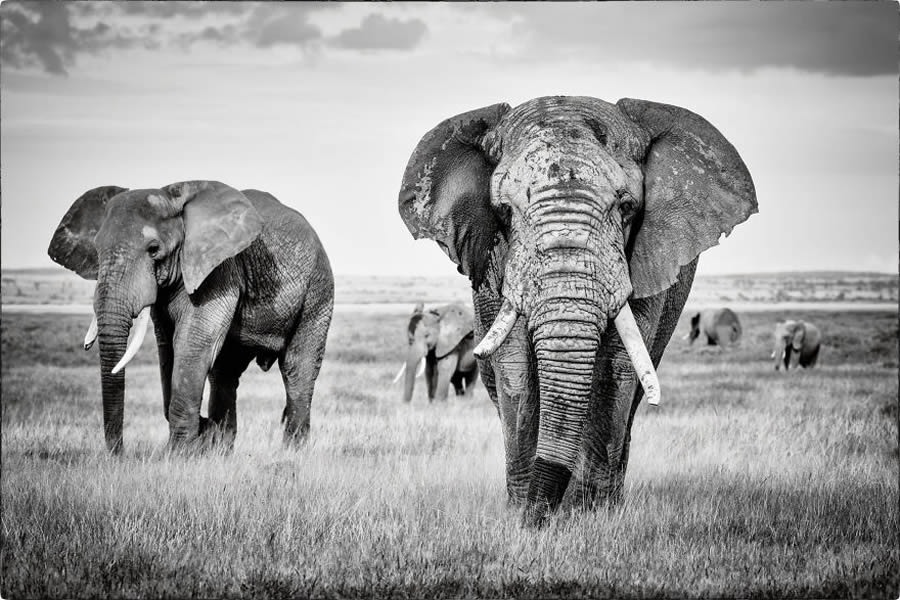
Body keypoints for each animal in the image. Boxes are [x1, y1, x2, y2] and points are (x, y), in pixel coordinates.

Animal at [47, 180, 334, 452]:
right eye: (96, 250)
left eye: (153, 249)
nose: (118, 455)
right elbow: (168, 348)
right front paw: (204, 437)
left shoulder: (219, 270)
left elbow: (191, 345)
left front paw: (178, 455)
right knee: (225, 373)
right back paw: (220, 449)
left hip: (318, 290)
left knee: (298, 368)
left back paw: (290, 453)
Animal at [398, 95, 756, 524]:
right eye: (503, 211)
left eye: (627, 207)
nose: (537, 521)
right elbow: (516, 368)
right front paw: (521, 510)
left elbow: (616, 368)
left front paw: (589, 513)